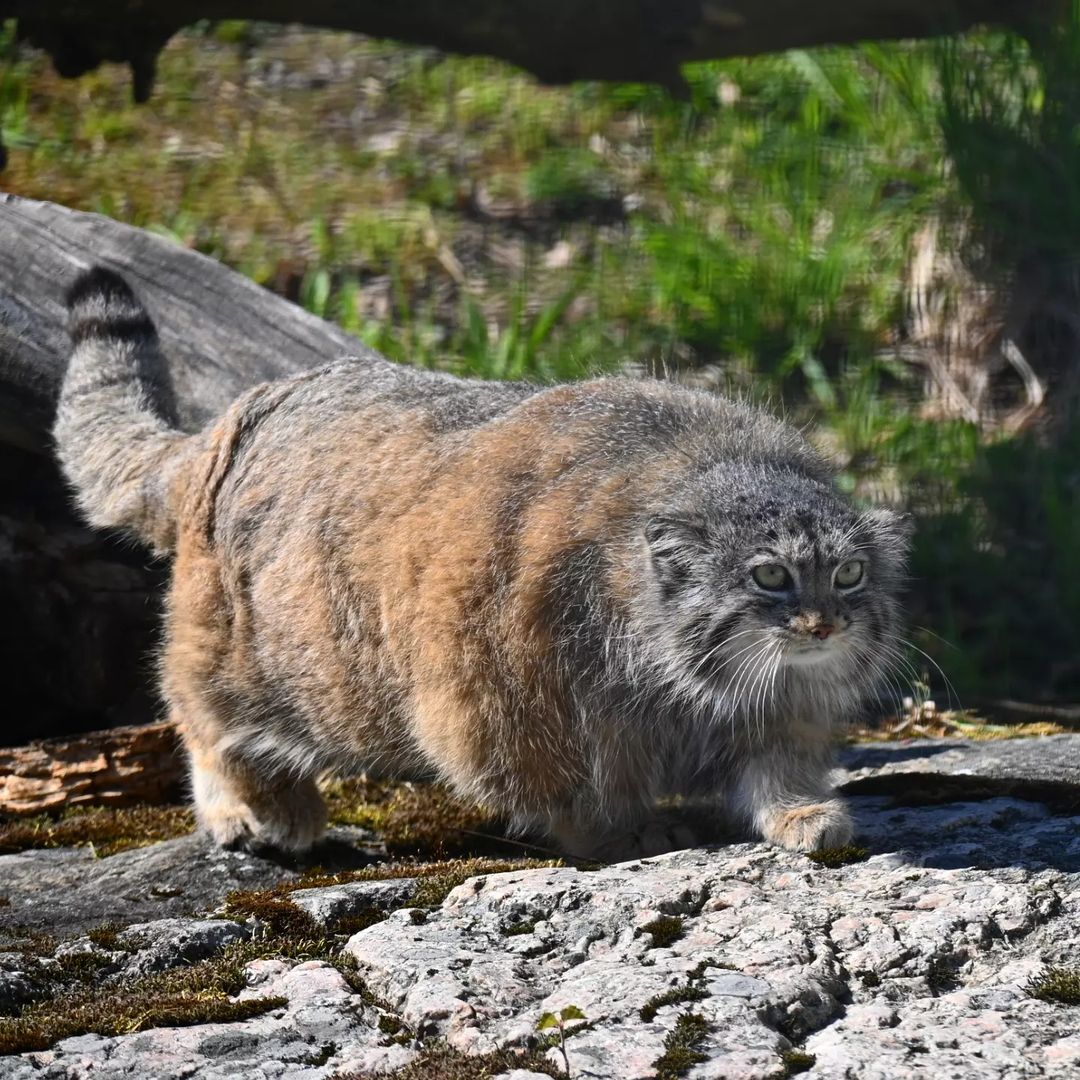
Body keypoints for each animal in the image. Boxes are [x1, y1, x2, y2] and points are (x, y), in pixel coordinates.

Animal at [54, 265, 907, 855]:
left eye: (850, 573)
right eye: (770, 575)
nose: (824, 626)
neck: (684, 680)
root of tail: (233, 416)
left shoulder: (776, 709)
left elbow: (776, 764)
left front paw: (803, 812)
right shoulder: (503, 705)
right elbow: (569, 797)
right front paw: (619, 835)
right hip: (260, 658)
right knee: (197, 711)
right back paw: (250, 806)